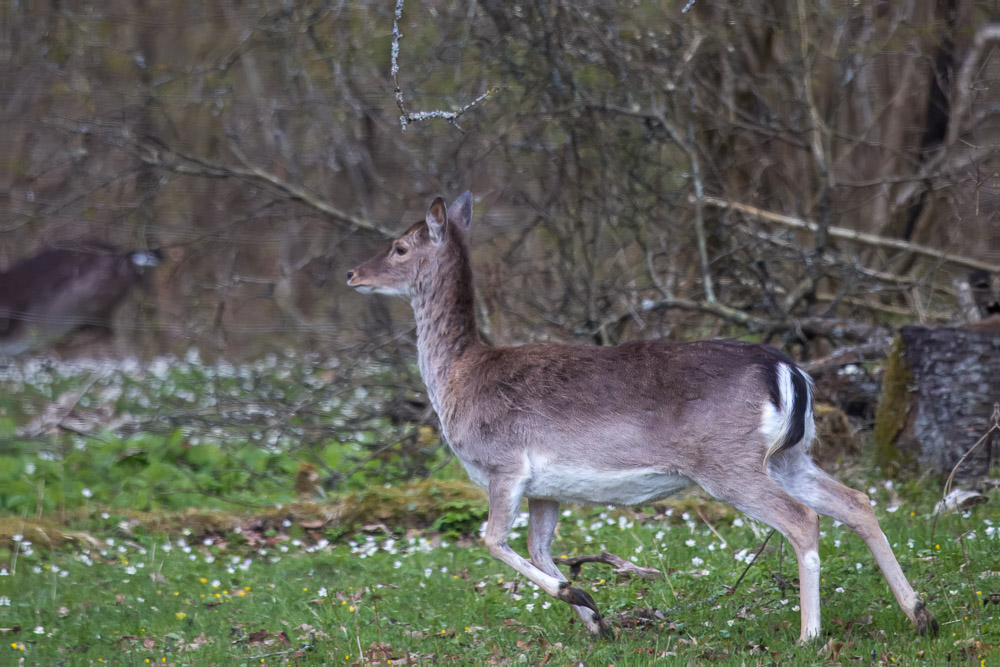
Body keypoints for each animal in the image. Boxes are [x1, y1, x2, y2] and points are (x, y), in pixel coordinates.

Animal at [346, 194, 936, 648]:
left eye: (400, 246)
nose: (352, 273)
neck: (459, 379)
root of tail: (789, 370)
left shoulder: (503, 464)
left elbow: (491, 541)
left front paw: (582, 598)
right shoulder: (546, 488)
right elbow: (540, 549)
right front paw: (598, 622)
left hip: (726, 461)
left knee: (802, 518)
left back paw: (809, 635)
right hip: (789, 454)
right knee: (856, 501)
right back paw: (920, 615)